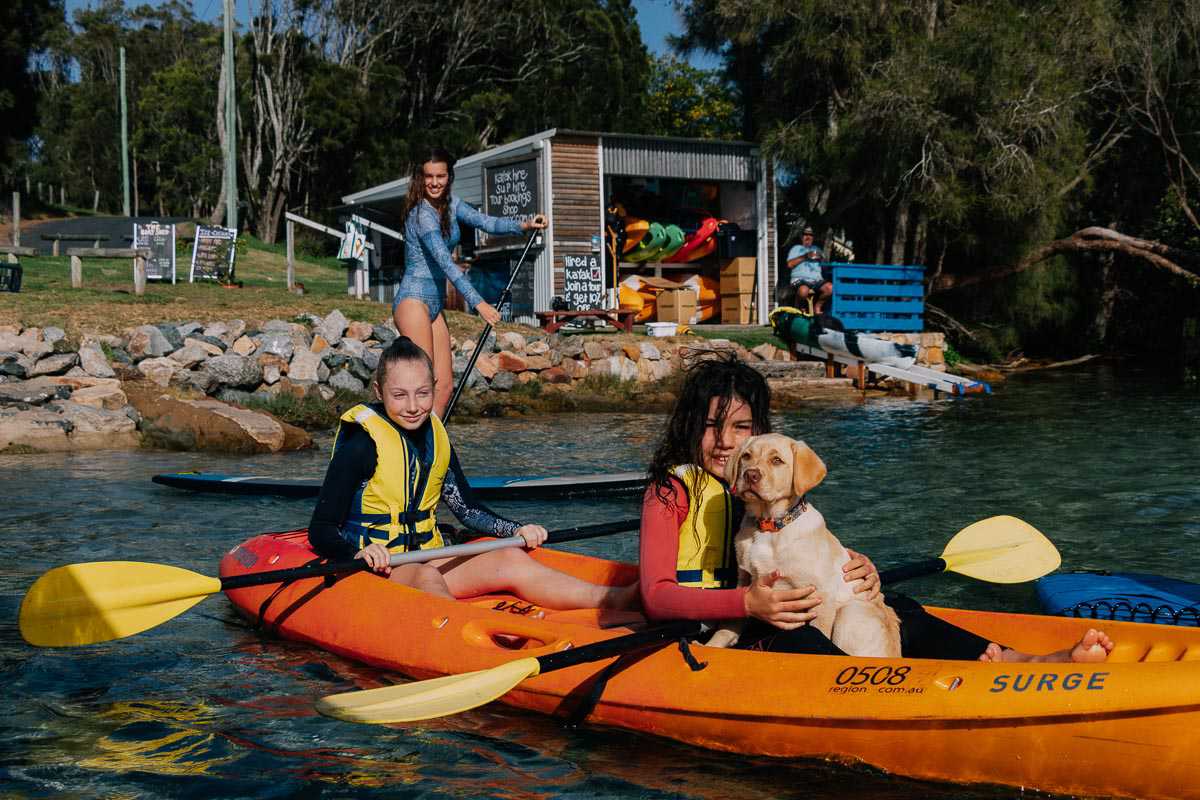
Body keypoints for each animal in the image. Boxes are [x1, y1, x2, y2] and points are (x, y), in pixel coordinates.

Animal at [705, 434, 897, 662]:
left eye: (777, 460)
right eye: (746, 456)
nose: (750, 474)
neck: (769, 527)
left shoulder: (821, 594)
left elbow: (818, 631)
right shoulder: (745, 581)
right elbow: (730, 623)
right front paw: (711, 645)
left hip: (850, 613)